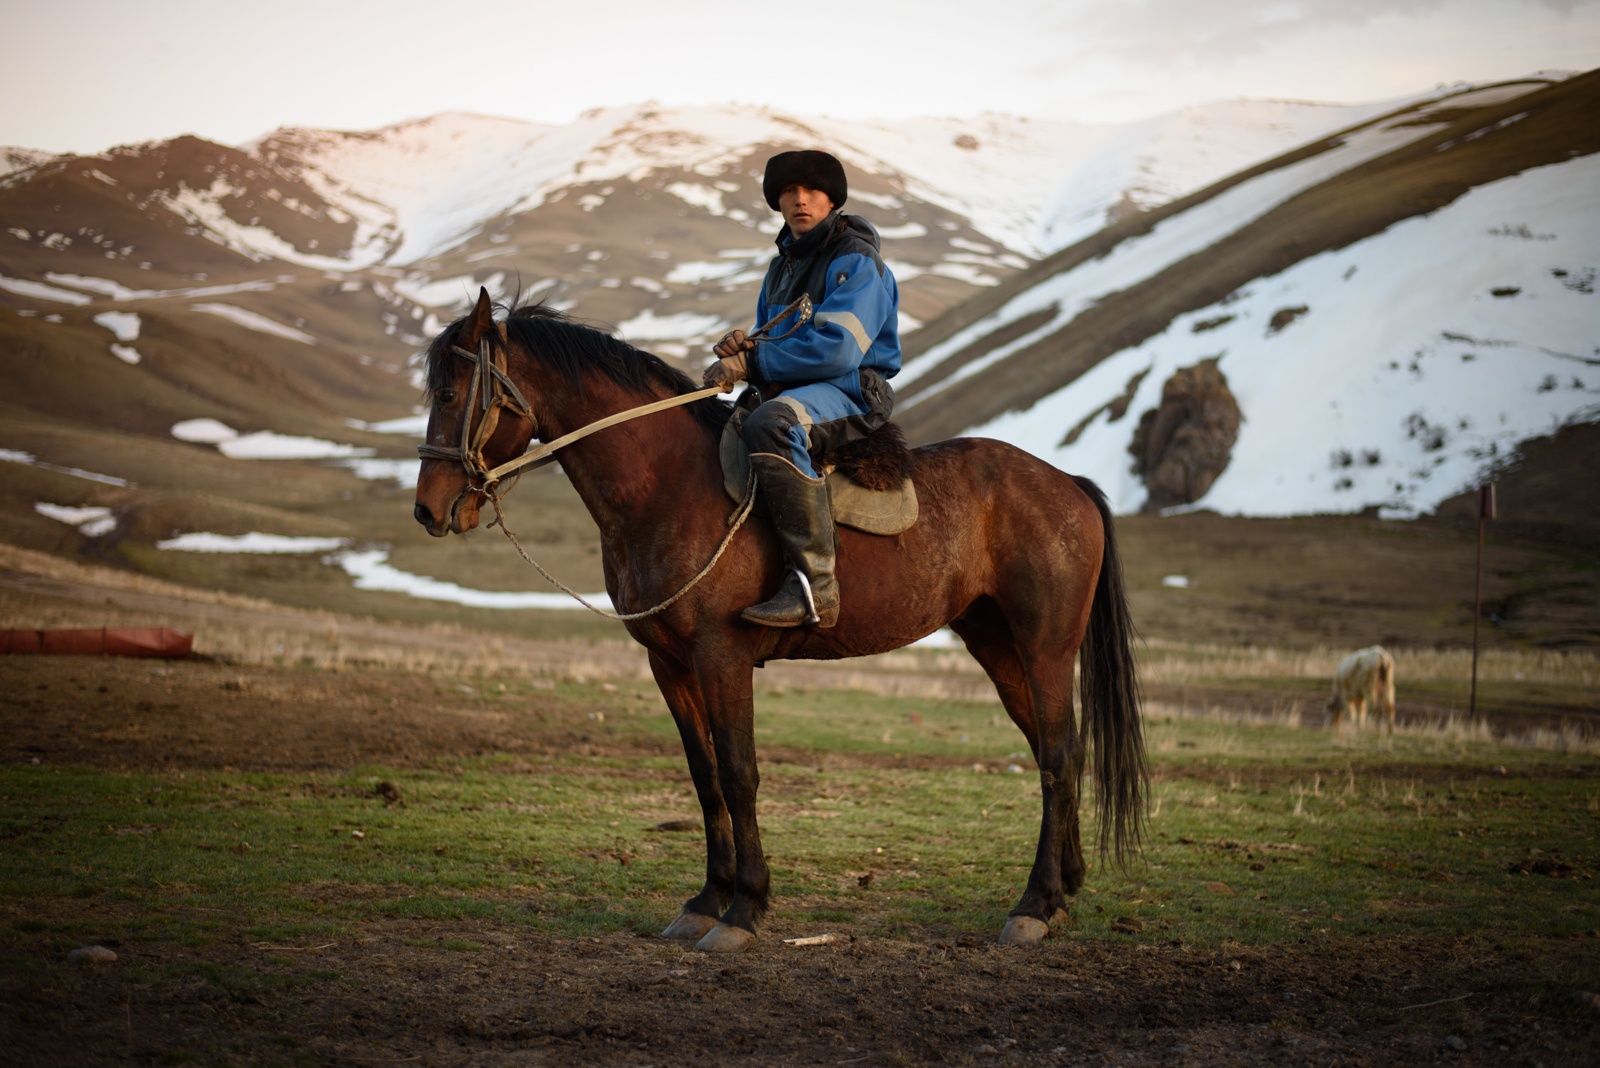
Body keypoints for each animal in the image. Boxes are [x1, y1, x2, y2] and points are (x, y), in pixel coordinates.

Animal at [409, 292, 1139, 952]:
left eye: (449, 394)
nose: (427, 510)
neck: (666, 486)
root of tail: (1068, 484)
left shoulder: (722, 654)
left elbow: (740, 774)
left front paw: (745, 908)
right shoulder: (668, 663)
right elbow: (704, 776)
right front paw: (706, 900)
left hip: (1045, 649)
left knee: (1056, 756)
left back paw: (1034, 906)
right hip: (997, 645)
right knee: (1058, 751)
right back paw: (1063, 890)